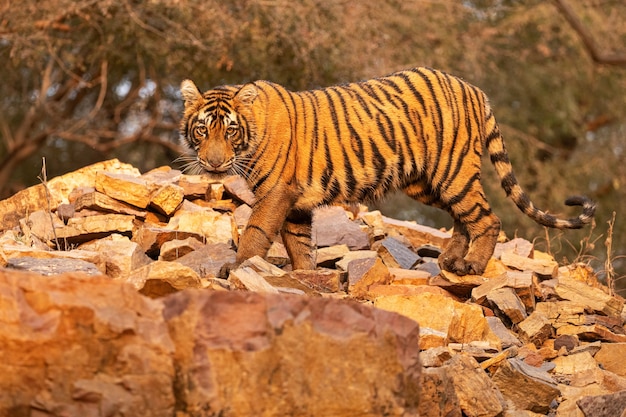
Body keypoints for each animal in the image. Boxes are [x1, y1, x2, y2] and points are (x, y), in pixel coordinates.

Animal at [178, 67, 592, 276]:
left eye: (230, 131)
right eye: (202, 130)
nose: (214, 163)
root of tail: (473, 88)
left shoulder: (277, 191)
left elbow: (257, 232)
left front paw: (237, 266)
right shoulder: (296, 201)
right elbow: (298, 241)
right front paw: (303, 273)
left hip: (452, 171)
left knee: (486, 218)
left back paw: (471, 265)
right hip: (425, 183)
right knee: (464, 218)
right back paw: (450, 261)